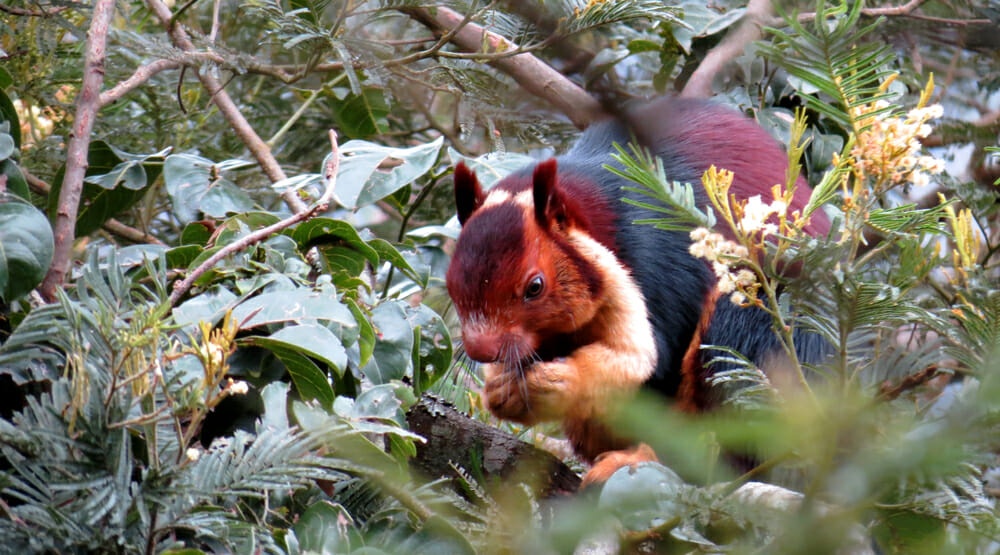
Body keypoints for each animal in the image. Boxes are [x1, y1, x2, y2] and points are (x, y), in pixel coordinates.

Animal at [450, 97, 832, 488]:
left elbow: (648, 359)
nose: (481, 349)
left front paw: (559, 382)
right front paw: (502, 389)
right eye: (452, 280)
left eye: (535, 287)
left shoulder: (659, 262)